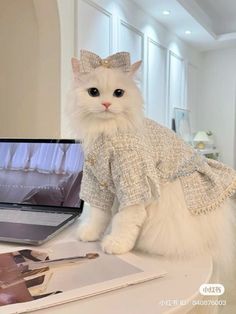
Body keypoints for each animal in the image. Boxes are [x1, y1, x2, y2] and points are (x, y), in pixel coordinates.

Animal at [67, 49, 236, 270]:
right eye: (93, 92)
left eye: (119, 93)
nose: (106, 104)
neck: (109, 132)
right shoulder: (99, 182)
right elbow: (98, 213)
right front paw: (91, 233)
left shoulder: (135, 182)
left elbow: (125, 219)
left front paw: (117, 244)